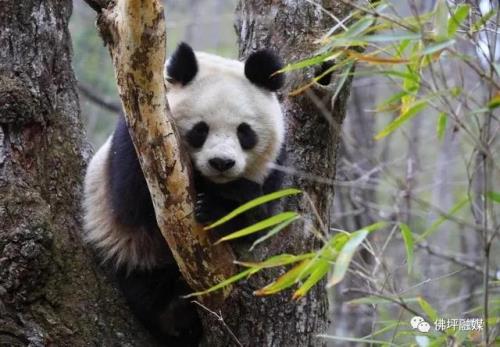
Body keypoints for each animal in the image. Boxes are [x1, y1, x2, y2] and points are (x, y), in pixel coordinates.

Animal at [82, 42, 286, 346]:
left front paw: (222, 204)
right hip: (136, 256)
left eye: (244, 132)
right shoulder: (137, 143)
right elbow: (134, 206)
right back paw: (176, 313)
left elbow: (259, 224)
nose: (221, 163)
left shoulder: (275, 167)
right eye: (200, 130)